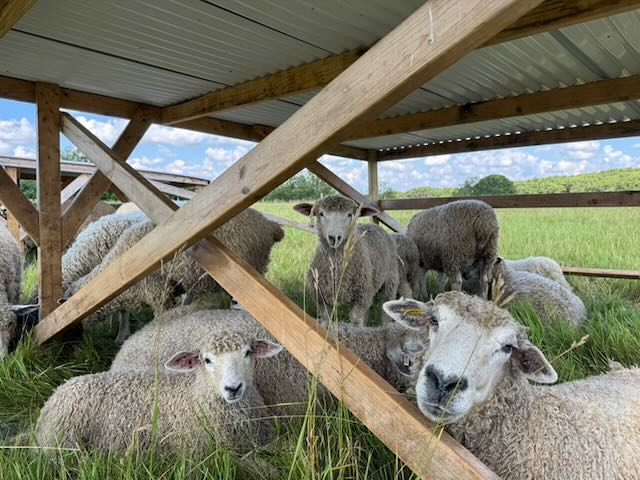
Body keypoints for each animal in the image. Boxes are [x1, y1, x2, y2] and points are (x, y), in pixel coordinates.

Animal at [293, 196, 398, 325]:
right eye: (321, 213)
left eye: (349, 214)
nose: (334, 238)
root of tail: (373, 225)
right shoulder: (322, 299)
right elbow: (327, 319)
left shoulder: (360, 298)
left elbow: (355, 321)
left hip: (390, 281)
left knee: (385, 307)